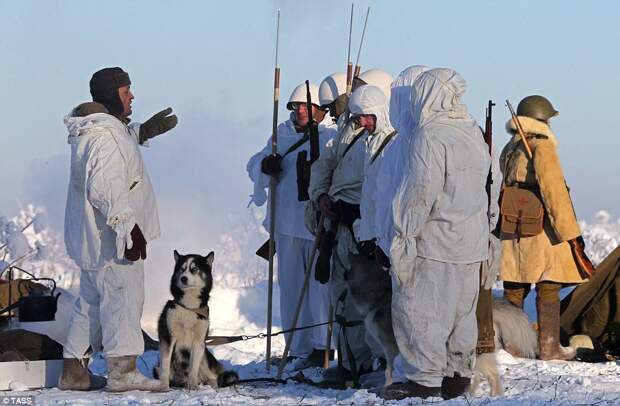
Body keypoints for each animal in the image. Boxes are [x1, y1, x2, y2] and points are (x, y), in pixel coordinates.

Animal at [155, 251, 240, 390]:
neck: (189, 308)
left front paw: (193, 386)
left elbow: (193, 368)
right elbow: (165, 366)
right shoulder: (168, 337)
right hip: (157, 367)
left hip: (204, 357)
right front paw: (163, 386)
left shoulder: (199, 341)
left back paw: (210, 385)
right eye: (182, 269)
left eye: (194, 269)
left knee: (212, 376)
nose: (183, 278)